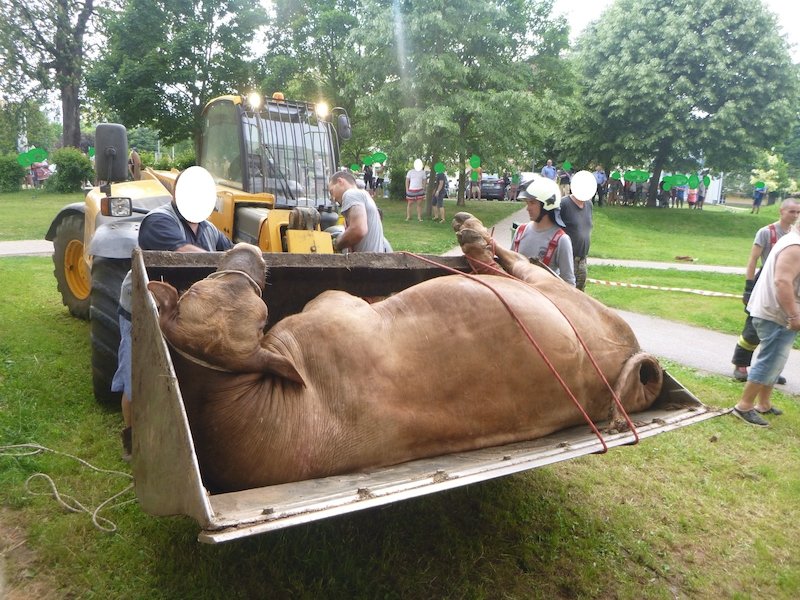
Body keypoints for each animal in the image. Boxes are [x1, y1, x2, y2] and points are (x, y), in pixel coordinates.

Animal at [150, 227, 664, 490]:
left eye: (258, 311)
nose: (246, 249)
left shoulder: (331, 303)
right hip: (558, 300)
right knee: (509, 267)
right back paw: (474, 239)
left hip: (562, 297)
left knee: (514, 264)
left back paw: (474, 237)